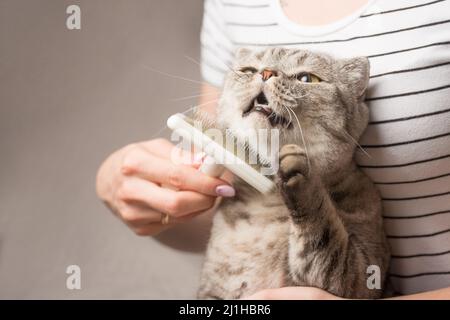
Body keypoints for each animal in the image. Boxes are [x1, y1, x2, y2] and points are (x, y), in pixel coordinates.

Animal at [197, 47, 390, 300]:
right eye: (248, 70)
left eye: (307, 78)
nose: (267, 72)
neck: (265, 201)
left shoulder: (365, 271)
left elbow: (325, 241)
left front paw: (299, 171)